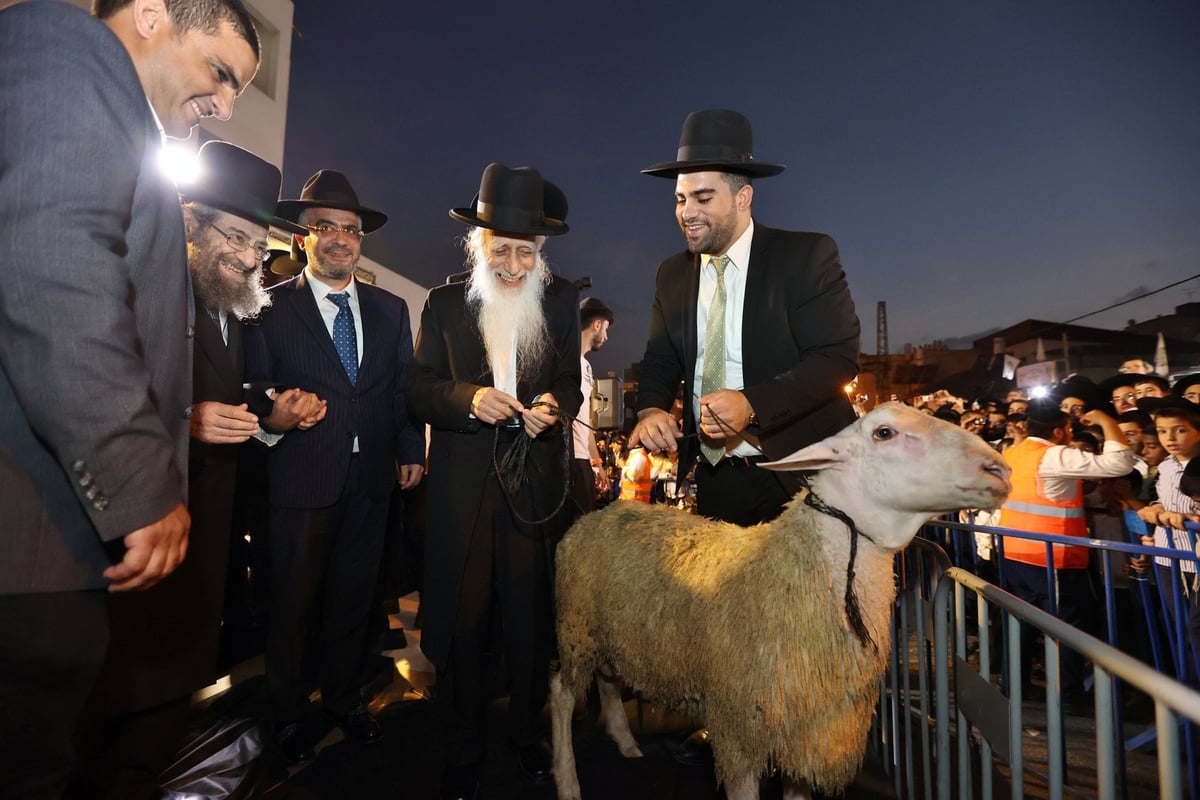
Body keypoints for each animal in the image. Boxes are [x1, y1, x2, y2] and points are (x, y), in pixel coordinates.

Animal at [549, 402, 1012, 800]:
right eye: (884, 432)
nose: (999, 469)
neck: (794, 567)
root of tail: (602, 512)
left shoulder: (808, 732)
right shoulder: (739, 729)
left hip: (610, 631)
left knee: (608, 681)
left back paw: (626, 742)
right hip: (574, 626)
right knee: (562, 693)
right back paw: (568, 780)